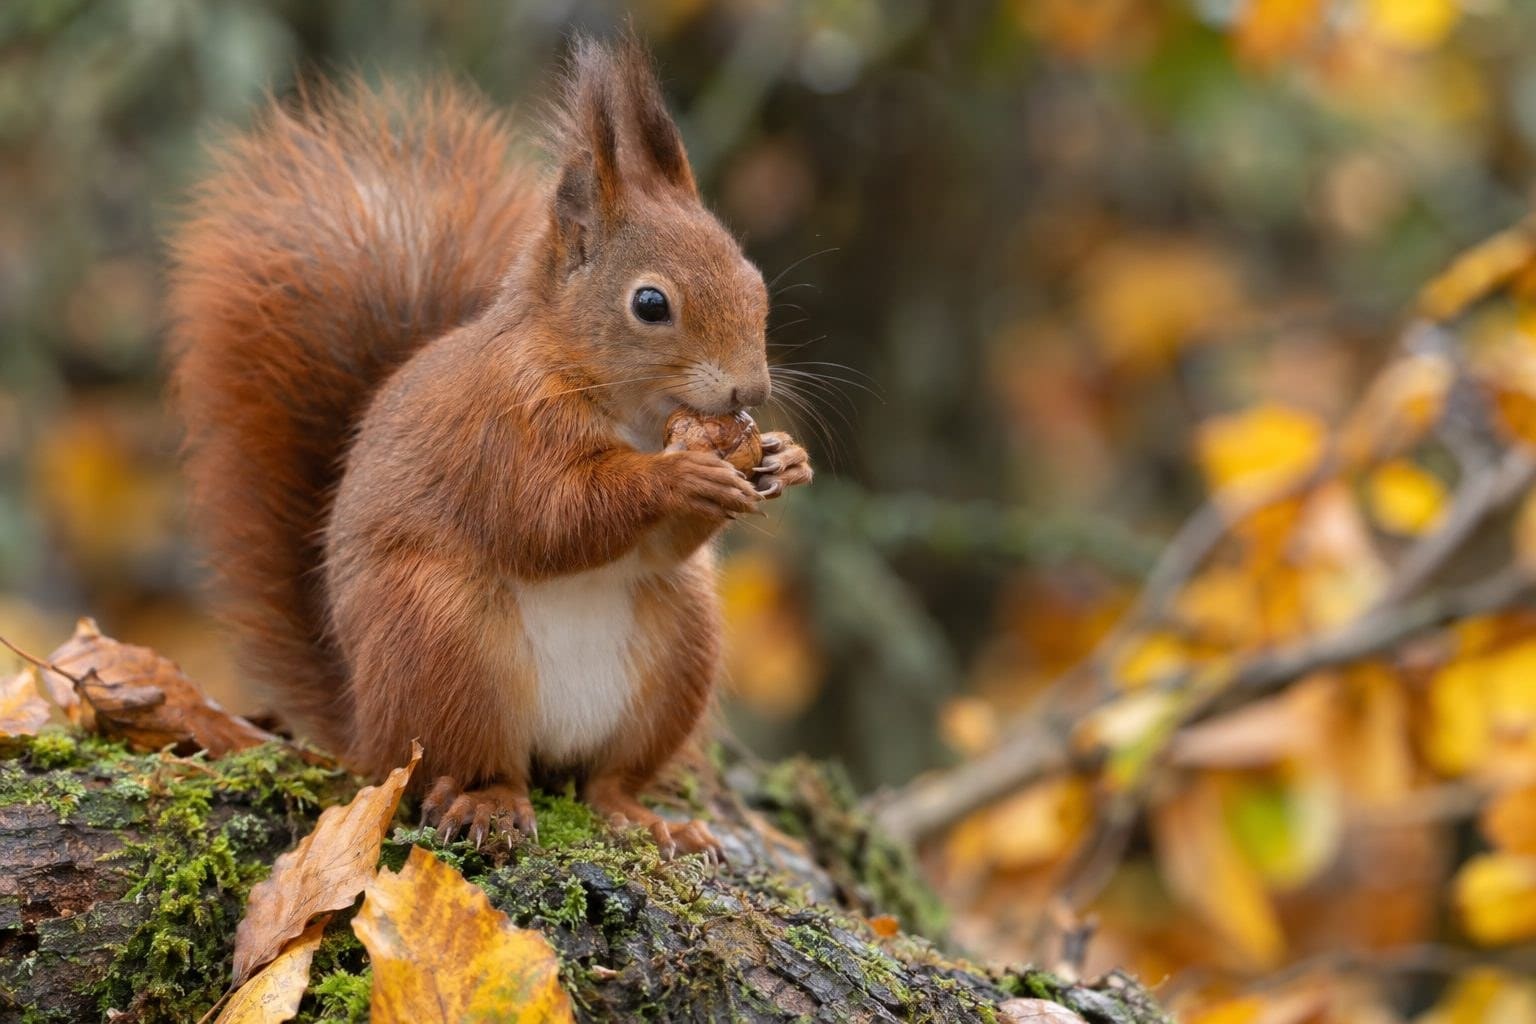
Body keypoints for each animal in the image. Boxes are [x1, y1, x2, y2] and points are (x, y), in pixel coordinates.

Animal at [167, 37, 812, 858]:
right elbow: (545, 518)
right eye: (650, 303)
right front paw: (681, 477)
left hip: (681, 648)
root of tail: (366, 727)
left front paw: (784, 459)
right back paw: (490, 805)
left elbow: (661, 543)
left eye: (754, 281)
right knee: (466, 764)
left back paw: (649, 819)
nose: (747, 391)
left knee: (606, 782)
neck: (629, 413)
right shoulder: (495, 433)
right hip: (442, 641)